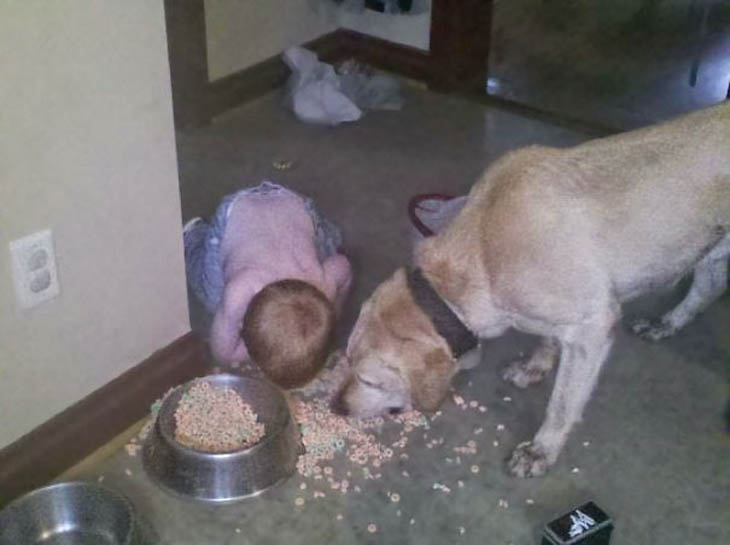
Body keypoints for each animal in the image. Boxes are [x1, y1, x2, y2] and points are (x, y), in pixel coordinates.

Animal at [334, 103, 728, 476]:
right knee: (704, 292)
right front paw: (534, 366)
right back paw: (667, 323)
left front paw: (541, 450)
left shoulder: (592, 329)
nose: (335, 407)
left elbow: (562, 404)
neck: (483, 250)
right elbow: (546, 340)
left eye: (369, 380)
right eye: (346, 359)